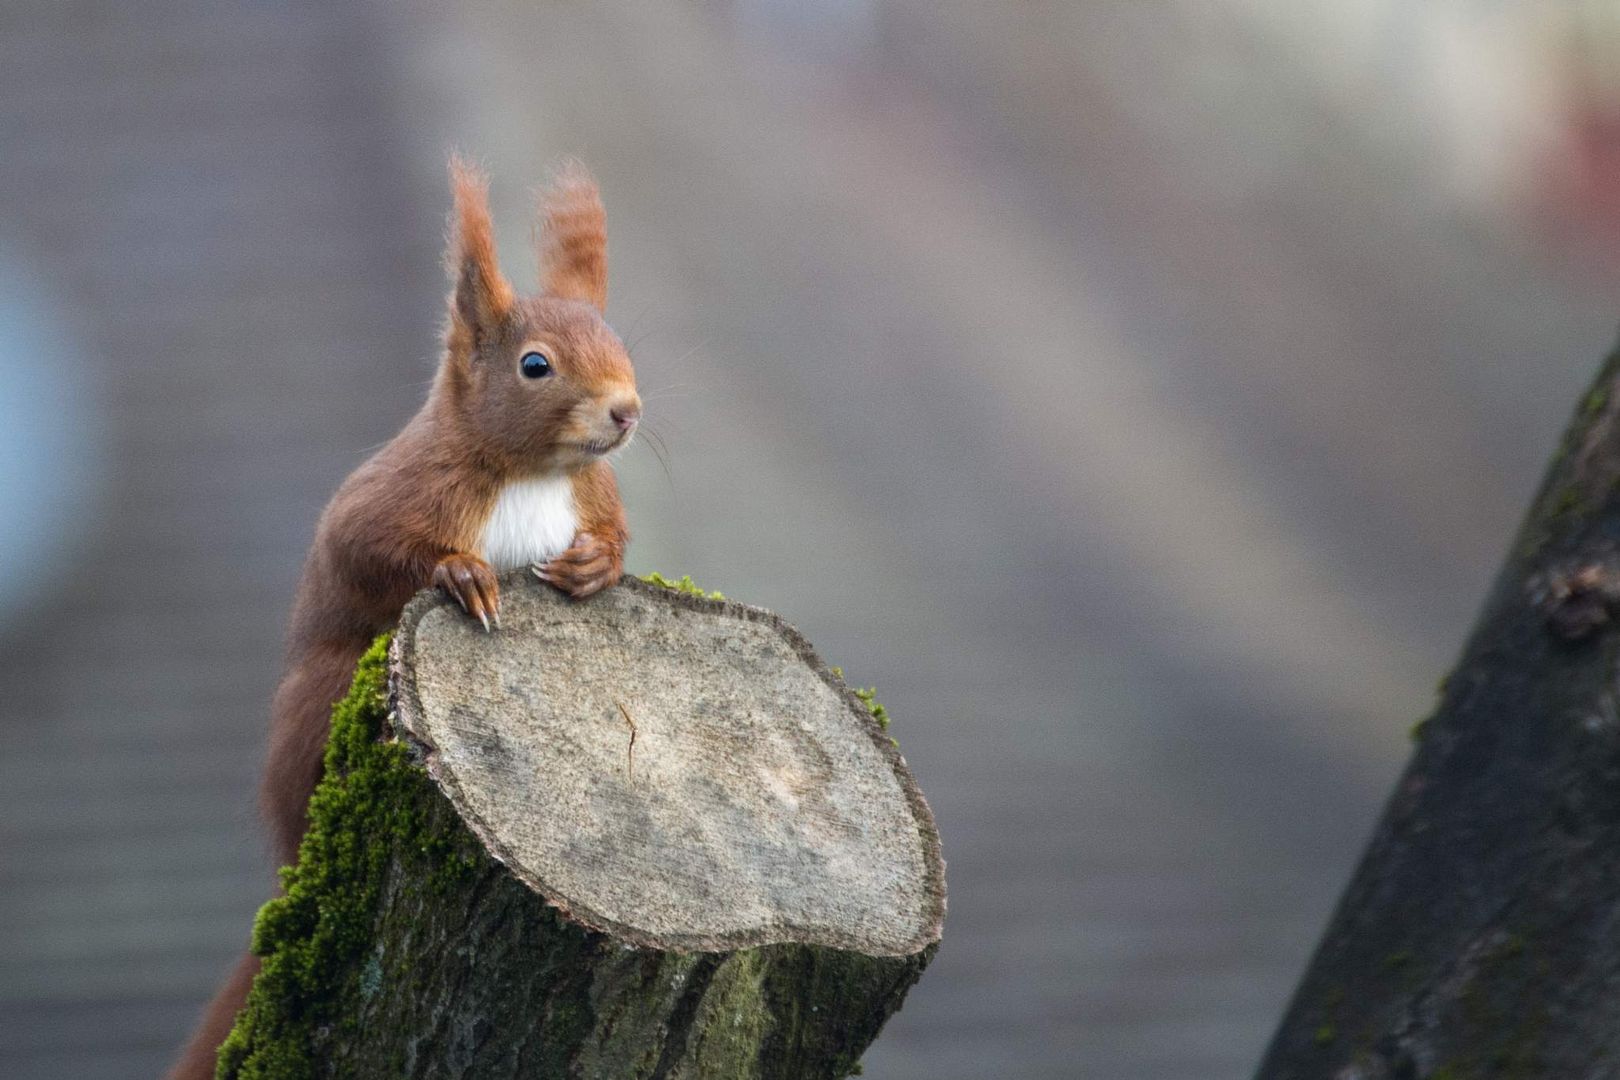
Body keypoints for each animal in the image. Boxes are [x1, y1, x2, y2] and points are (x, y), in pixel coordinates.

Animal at [167, 158, 638, 1080]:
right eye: (535, 365)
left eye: (622, 343)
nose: (627, 410)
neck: (531, 474)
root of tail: (291, 868)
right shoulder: (395, 499)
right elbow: (367, 548)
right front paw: (460, 574)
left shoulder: (593, 495)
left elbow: (617, 534)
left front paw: (595, 566)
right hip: (324, 699)